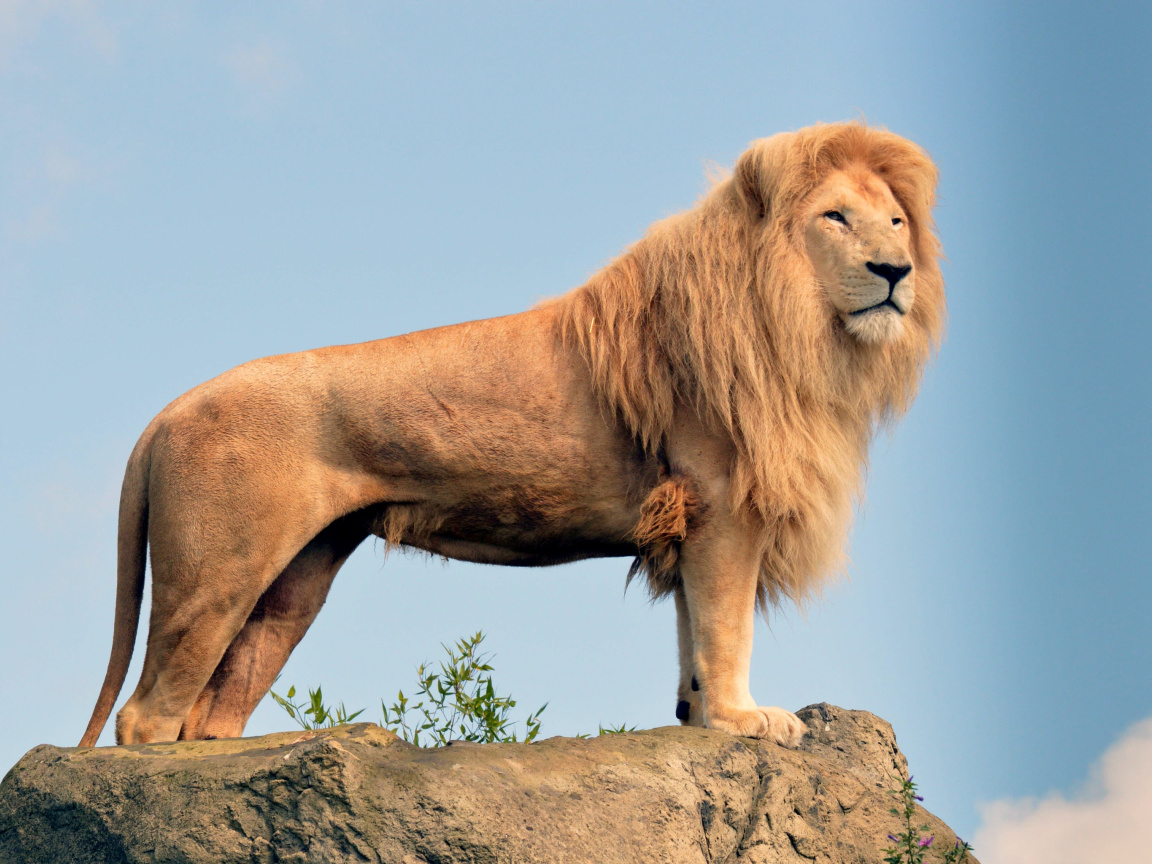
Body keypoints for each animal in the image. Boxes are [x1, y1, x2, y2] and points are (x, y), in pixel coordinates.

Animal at [78, 123, 944, 751]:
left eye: (897, 222)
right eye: (836, 217)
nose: (895, 270)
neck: (804, 332)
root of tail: (167, 411)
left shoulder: (690, 521)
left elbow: (693, 635)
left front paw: (699, 718)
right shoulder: (723, 505)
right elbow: (724, 628)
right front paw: (745, 720)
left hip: (295, 579)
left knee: (212, 710)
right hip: (218, 572)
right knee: (148, 714)